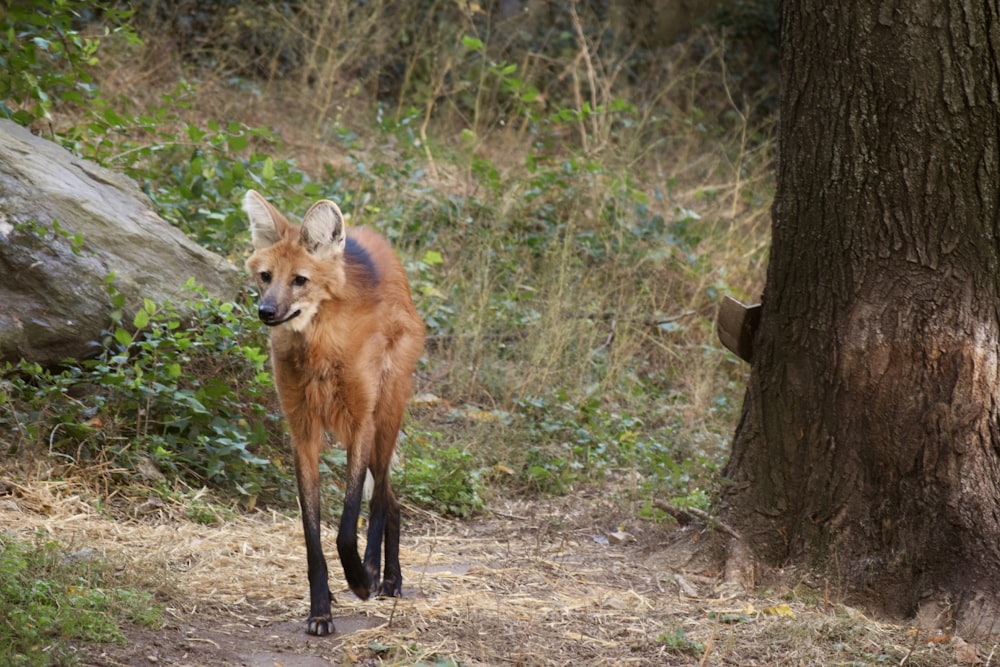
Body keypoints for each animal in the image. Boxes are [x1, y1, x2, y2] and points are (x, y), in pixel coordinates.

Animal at [247, 189, 430, 636]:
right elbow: (312, 532)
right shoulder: (303, 432)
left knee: (382, 496)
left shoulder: (360, 421)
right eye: (265, 276)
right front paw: (320, 610)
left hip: (385, 414)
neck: (317, 344)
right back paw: (386, 577)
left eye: (300, 280)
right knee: (391, 497)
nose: (266, 312)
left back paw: (382, 576)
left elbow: (347, 526)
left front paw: (361, 579)